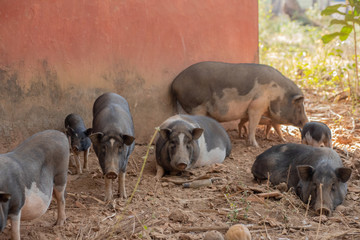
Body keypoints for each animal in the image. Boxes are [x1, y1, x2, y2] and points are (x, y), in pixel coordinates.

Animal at [170, 61, 308, 147]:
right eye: (299, 105)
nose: (307, 121)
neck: (277, 92)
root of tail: (174, 83)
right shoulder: (256, 105)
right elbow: (253, 125)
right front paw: (256, 146)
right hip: (196, 106)